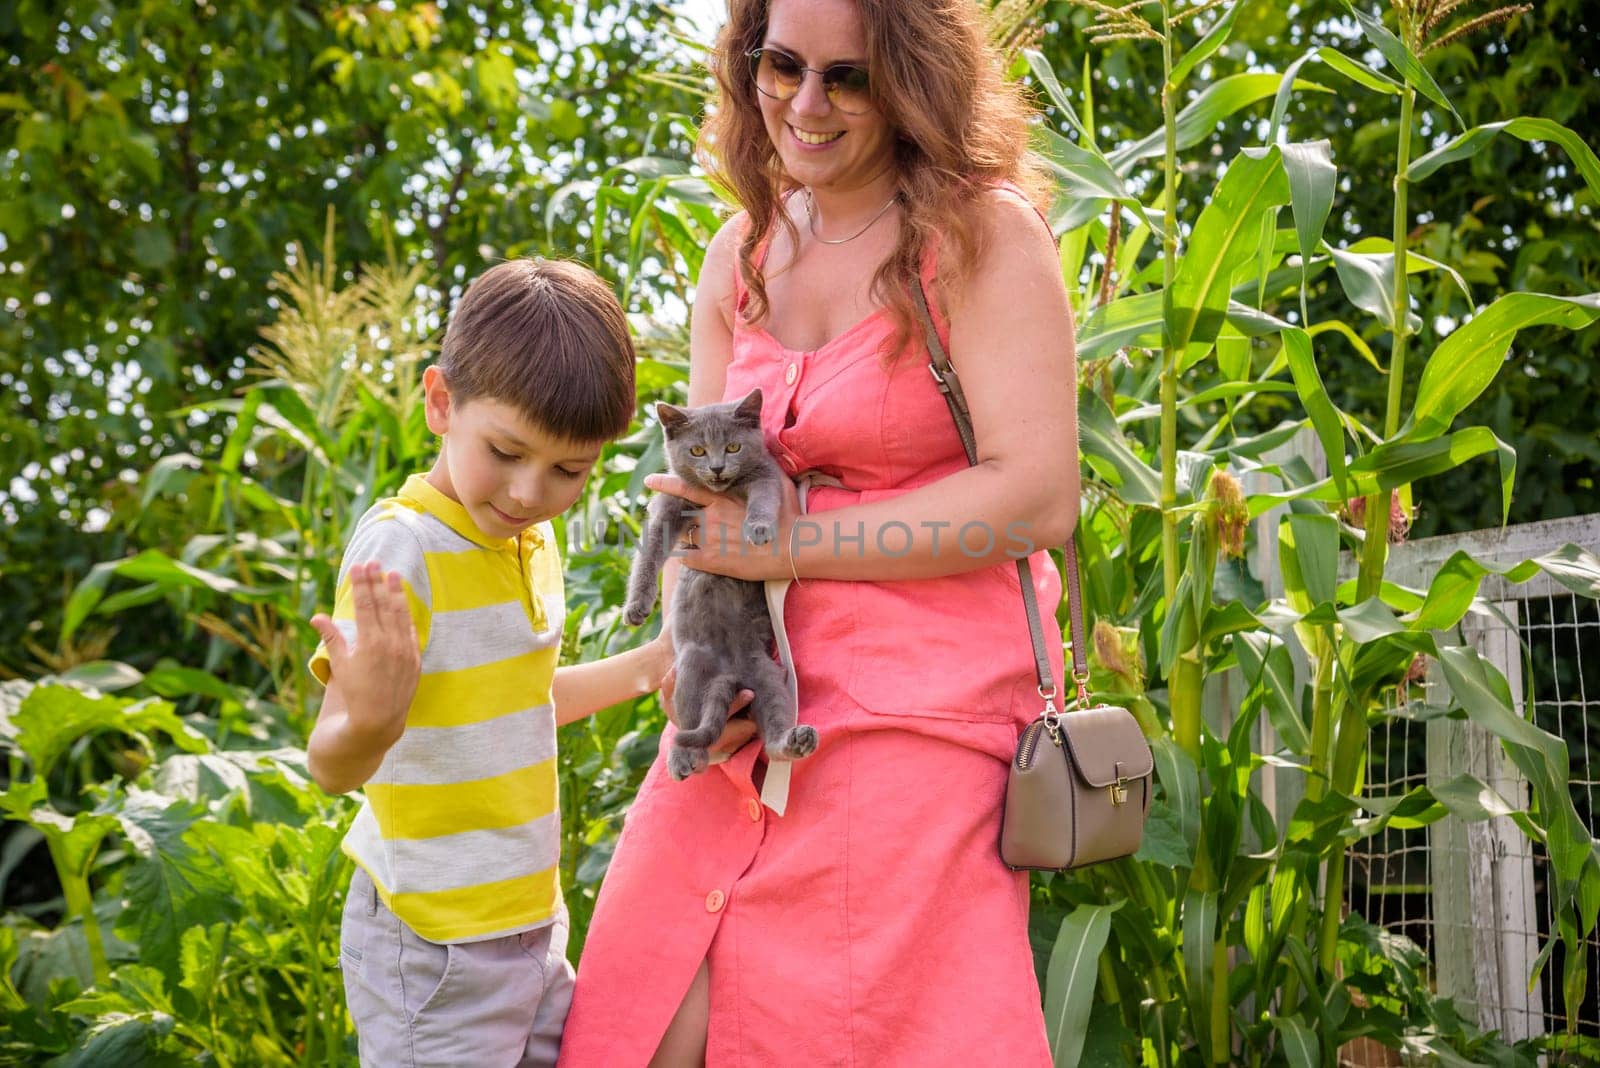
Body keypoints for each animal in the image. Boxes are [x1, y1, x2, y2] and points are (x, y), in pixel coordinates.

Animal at [624, 388, 819, 780]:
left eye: (733, 447)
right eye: (697, 450)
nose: (716, 467)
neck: (725, 489)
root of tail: (734, 676)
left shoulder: (766, 477)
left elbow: (763, 498)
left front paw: (758, 527)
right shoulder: (669, 504)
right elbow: (649, 553)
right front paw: (637, 606)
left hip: (769, 674)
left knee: (773, 723)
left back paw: (793, 742)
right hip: (692, 664)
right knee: (691, 721)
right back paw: (684, 758)